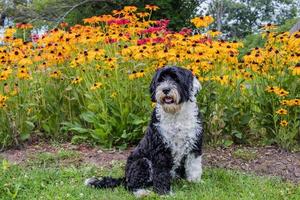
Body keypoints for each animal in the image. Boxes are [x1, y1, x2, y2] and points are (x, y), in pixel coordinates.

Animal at [85, 66, 205, 197]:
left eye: (176, 79)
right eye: (160, 80)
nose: (165, 89)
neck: (175, 115)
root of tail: (125, 177)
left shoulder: (194, 145)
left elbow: (194, 166)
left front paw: (195, 182)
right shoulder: (160, 150)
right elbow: (161, 173)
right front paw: (164, 193)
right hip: (142, 162)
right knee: (130, 185)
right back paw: (142, 192)